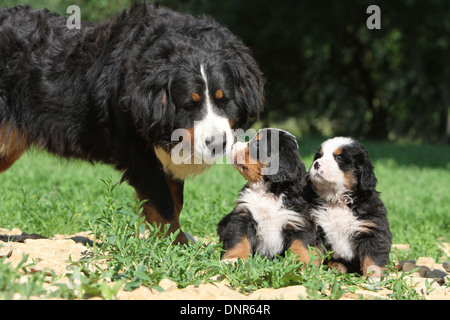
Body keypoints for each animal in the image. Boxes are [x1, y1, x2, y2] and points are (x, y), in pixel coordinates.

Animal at [0, 2, 266, 244]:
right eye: (189, 105)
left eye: (224, 100)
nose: (217, 144)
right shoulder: (141, 155)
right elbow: (163, 204)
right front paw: (175, 244)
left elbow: (175, 200)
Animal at [217, 127, 316, 264]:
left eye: (257, 144)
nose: (233, 145)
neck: (268, 192)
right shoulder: (244, 215)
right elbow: (239, 240)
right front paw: (233, 259)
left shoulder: (299, 222)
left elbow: (300, 246)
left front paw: (300, 265)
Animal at [308, 136, 392, 278]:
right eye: (319, 156)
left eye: (339, 158)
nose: (316, 164)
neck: (337, 201)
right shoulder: (317, 228)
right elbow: (314, 253)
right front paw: (310, 272)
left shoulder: (371, 231)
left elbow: (372, 258)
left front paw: (373, 278)